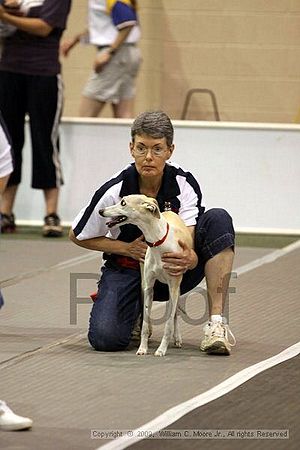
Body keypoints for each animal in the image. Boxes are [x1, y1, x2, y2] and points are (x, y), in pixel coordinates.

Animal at [98, 195, 192, 356]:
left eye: (123, 203)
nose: (100, 210)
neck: (159, 241)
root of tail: (170, 211)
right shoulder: (148, 287)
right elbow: (146, 322)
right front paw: (142, 348)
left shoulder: (173, 286)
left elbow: (168, 323)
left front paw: (161, 349)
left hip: (175, 288)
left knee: (174, 314)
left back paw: (177, 338)